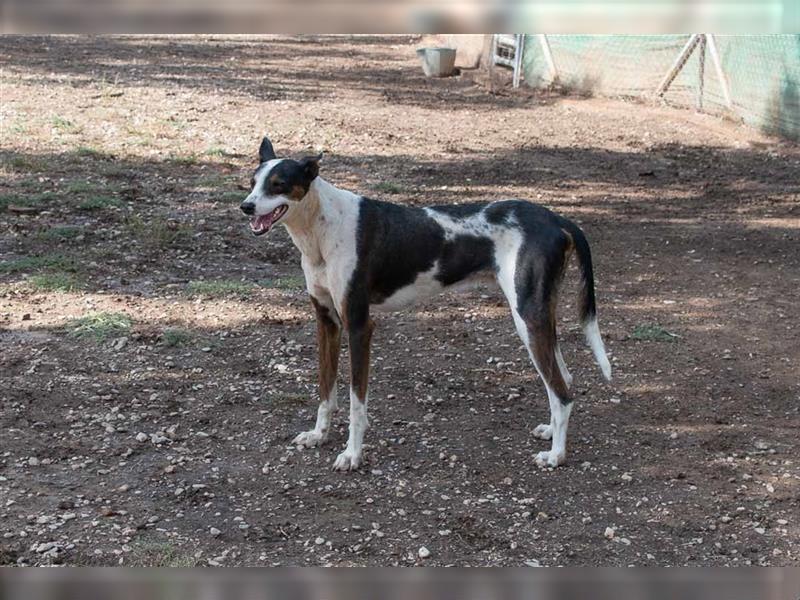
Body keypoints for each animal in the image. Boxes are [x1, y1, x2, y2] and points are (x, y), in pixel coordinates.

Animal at [241, 138, 608, 472]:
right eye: (252, 182)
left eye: (279, 184)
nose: (246, 207)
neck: (322, 226)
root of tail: (556, 218)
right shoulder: (327, 321)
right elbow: (325, 389)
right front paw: (319, 434)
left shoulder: (359, 326)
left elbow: (356, 402)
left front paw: (352, 454)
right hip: (539, 316)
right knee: (564, 378)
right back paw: (551, 433)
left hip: (528, 318)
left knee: (563, 393)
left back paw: (556, 455)